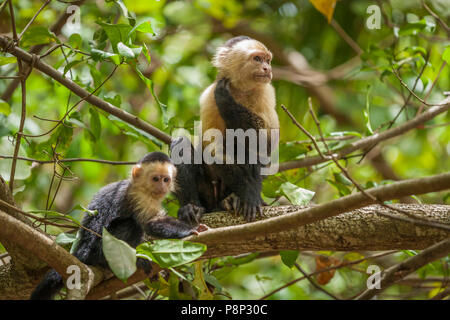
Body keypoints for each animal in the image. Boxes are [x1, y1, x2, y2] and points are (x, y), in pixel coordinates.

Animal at [30, 152, 208, 300]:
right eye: (155, 179)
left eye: (166, 179)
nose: (162, 187)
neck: (140, 187)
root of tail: (82, 250)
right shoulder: (139, 197)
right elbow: (151, 223)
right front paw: (190, 230)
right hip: (100, 250)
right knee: (131, 224)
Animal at [171, 36, 278, 224]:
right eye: (257, 59)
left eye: (268, 60)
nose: (267, 68)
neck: (241, 91)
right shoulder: (209, 96)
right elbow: (214, 149)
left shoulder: (266, 93)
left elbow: (265, 144)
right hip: (208, 194)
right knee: (183, 144)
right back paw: (192, 207)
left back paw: (235, 198)